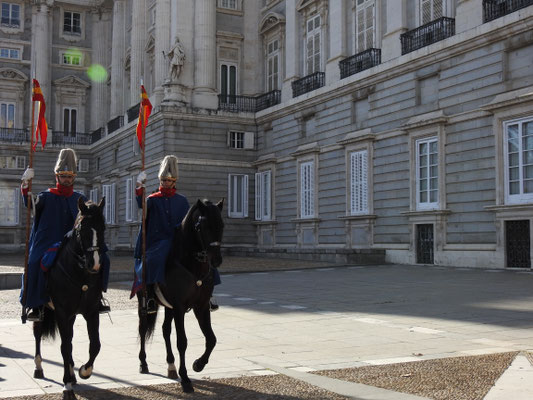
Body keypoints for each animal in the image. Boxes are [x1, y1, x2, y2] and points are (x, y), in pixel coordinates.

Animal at [33, 198, 106, 400]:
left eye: (103, 227)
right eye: (82, 228)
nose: (94, 264)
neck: (80, 274)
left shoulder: (91, 311)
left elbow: (95, 344)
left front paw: (84, 371)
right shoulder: (62, 312)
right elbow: (64, 347)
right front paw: (66, 386)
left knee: (71, 340)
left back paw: (73, 374)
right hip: (42, 309)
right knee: (38, 333)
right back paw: (39, 367)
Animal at [138, 198, 223, 392]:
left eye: (222, 225)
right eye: (203, 226)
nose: (217, 260)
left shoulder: (201, 307)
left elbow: (211, 339)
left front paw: (198, 364)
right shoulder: (179, 307)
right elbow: (182, 342)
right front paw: (185, 378)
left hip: (168, 307)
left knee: (165, 330)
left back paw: (171, 365)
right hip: (144, 303)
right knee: (143, 328)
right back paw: (143, 363)